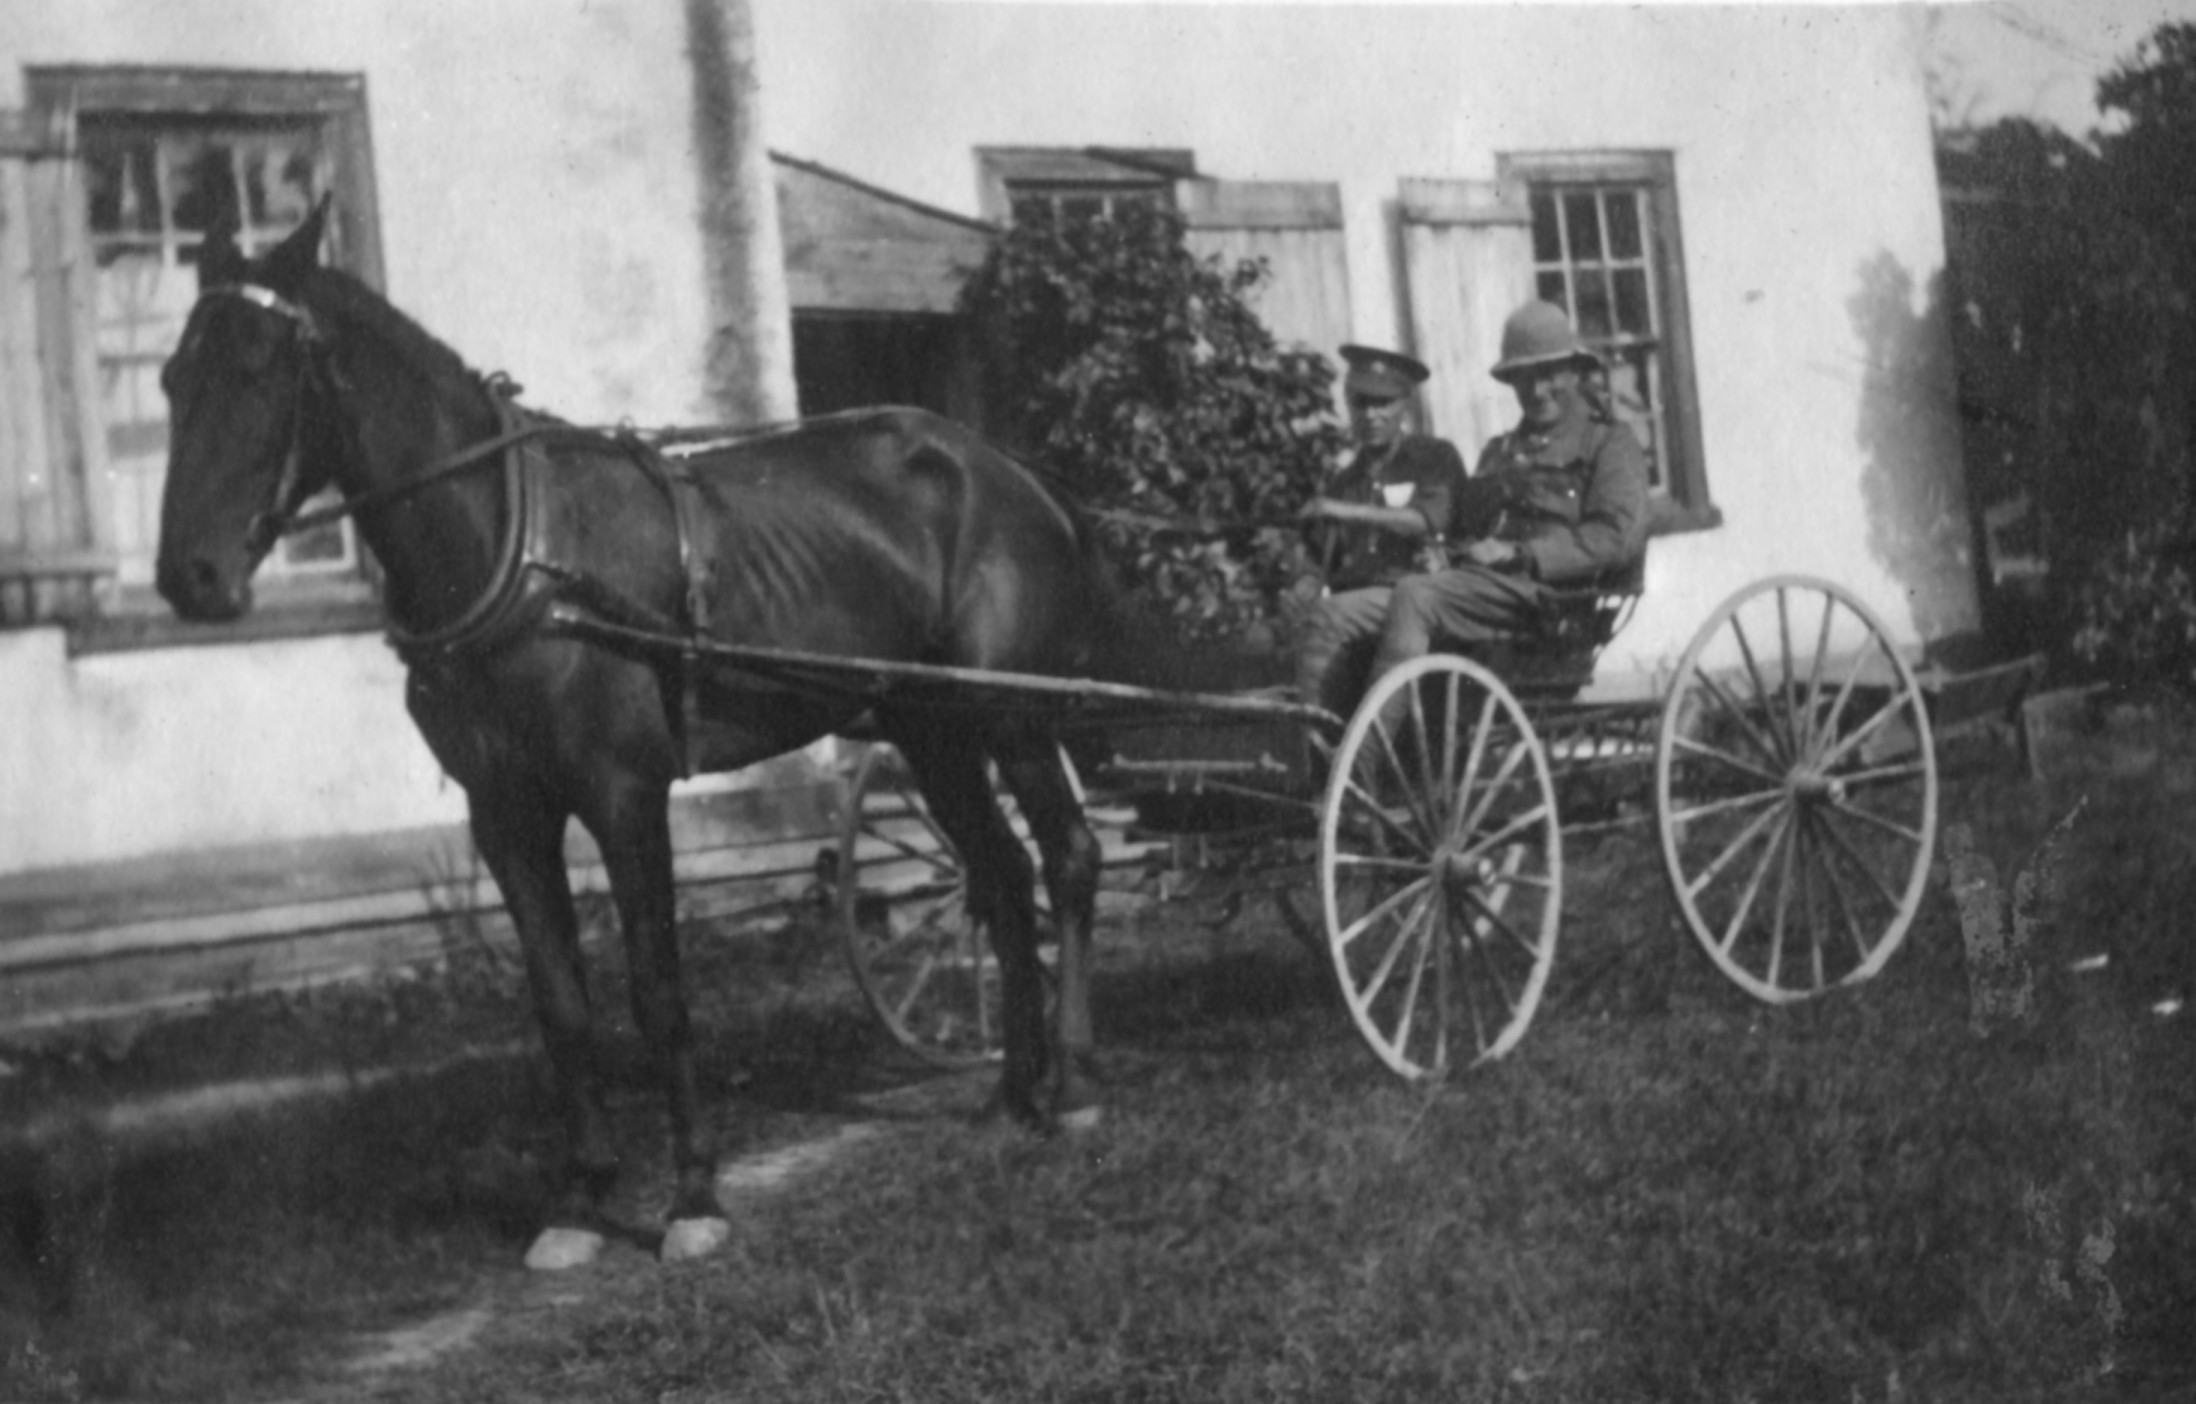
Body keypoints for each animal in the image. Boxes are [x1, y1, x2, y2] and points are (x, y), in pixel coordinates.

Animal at [157, 203, 1115, 1265]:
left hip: (1013, 717)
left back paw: (1073, 1087)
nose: (189, 576)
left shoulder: (624, 796)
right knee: (1000, 874)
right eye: (170, 377)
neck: (518, 550)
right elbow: (562, 1007)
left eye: (260, 367)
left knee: (1067, 859)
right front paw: (578, 1201)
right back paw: (1012, 1092)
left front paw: (694, 1194)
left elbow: (658, 990)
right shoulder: (507, 814)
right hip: (933, 729)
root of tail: (1013, 475)